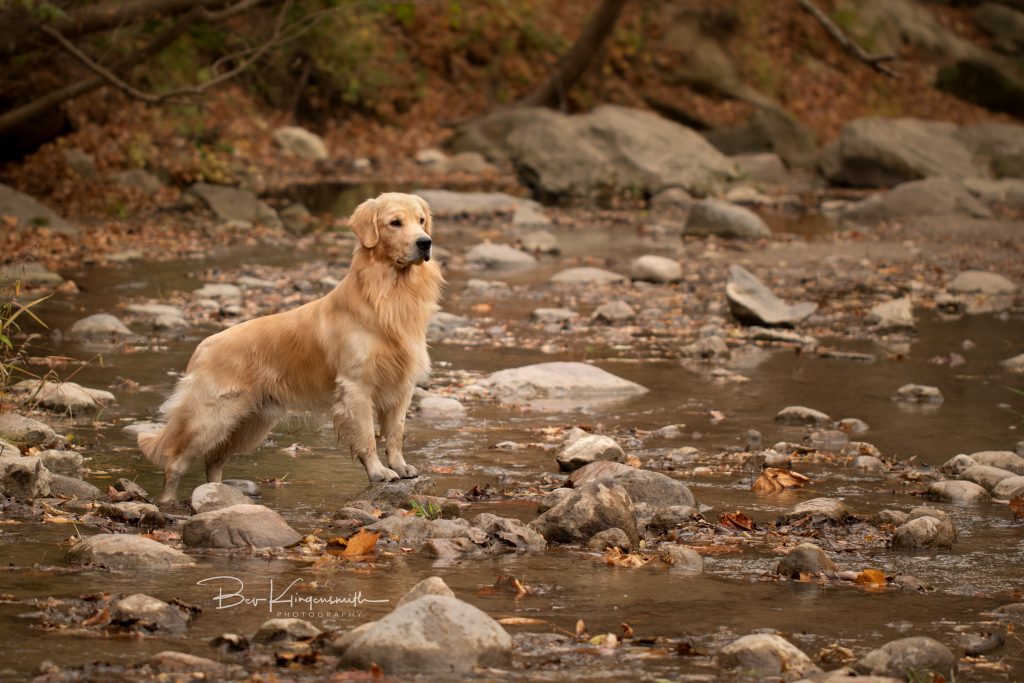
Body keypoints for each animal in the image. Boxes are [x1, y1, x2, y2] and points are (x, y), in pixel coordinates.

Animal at [138, 192, 442, 501]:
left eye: (421, 220)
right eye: (395, 223)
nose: (425, 242)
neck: (389, 293)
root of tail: (203, 346)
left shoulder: (402, 386)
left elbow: (396, 433)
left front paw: (400, 466)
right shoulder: (356, 387)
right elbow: (367, 436)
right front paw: (379, 472)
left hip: (249, 423)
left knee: (213, 458)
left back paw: (217, 494)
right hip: (211, 419)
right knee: (176, 461)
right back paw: (169, 501)